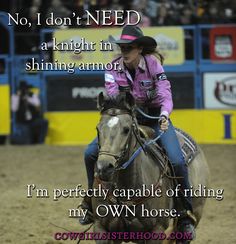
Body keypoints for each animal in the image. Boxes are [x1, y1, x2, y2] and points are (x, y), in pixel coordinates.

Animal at [91, 92, 209, 243]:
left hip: (197, 210)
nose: (104, 167)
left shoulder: (156, 231)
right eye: (97, 128)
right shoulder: (101, 228)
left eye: (126, 129)